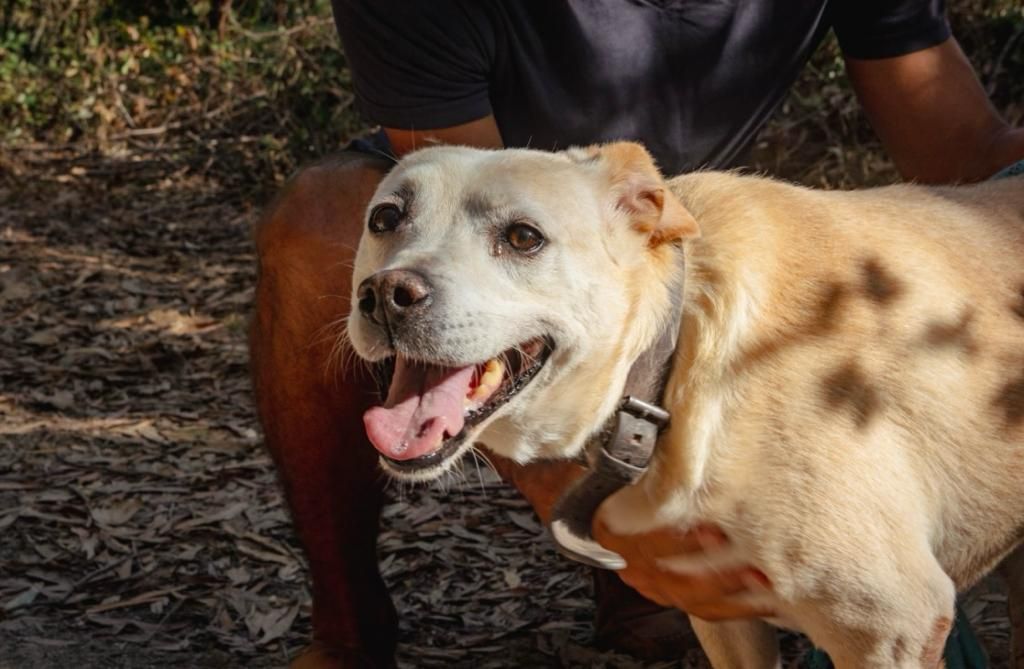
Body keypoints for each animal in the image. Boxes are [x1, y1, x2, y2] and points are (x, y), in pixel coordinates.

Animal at [346, 143, 1024, 663]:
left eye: (522, 237)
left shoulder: (892, 626)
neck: (671, 360)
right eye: (385, 219)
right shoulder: (724, 616)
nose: (386, 293)